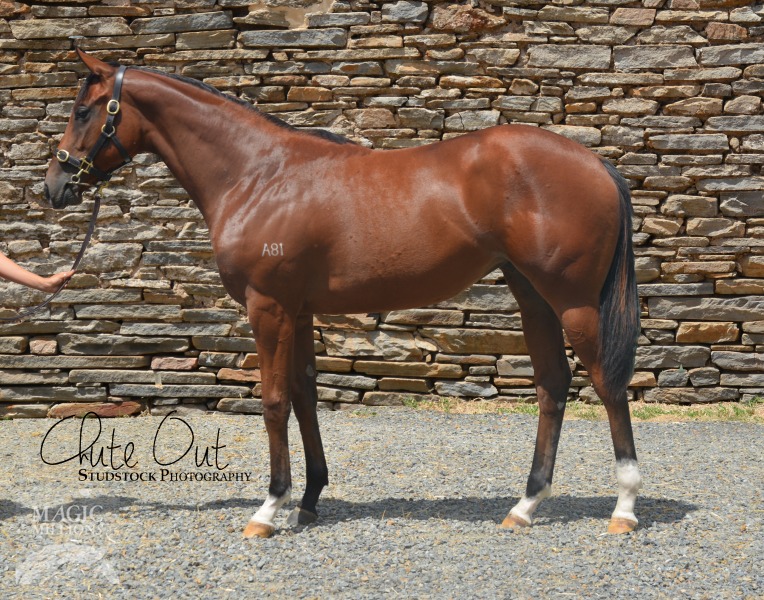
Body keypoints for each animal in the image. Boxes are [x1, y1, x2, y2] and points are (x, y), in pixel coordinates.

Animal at [44, 49, 642, 538]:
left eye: (83, 112)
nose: (54, 186)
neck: (258, 175)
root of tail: (597, 164)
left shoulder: (268, 307)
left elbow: (273, 400)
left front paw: (269, 509)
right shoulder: (299, 311)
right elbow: (305, 393)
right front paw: (308, 499)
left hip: (573, 302)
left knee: (607, 384)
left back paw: (624, 508)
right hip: (533, 296)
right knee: (552, 386)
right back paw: (525, 506)